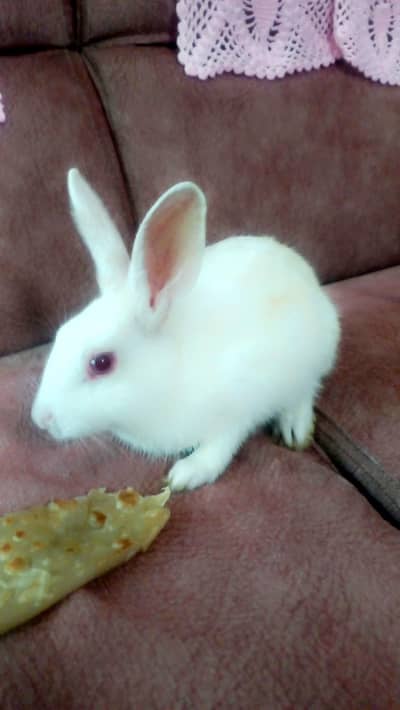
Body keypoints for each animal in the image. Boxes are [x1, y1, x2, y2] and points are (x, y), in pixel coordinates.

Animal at [31, 168, 340, 491]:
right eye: (60, 335)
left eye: (101, 362)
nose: (41, 419)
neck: (170, 373)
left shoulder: (236, 411)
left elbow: (220, 446)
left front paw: (186, 475)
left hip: (313, 355)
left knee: (306, 390)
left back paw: (295, 428)